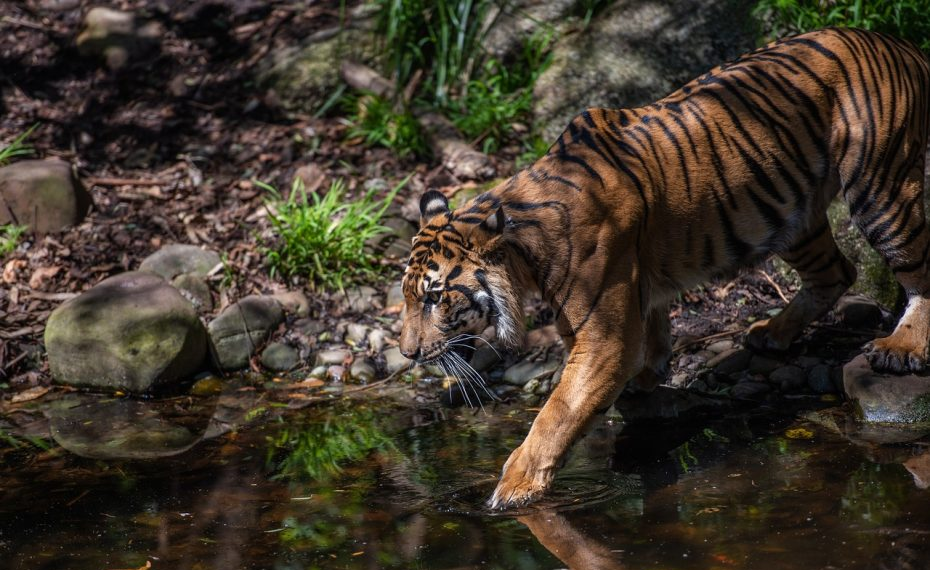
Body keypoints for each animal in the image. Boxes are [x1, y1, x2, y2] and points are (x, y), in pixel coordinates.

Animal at [399, 27, 930, 508]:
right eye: (407, 297)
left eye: (434, 297)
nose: (407, 354)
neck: (525, 252)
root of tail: (898, 42)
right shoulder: (632, 295)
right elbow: (650, 331)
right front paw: (647, 376)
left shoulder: (603, 335)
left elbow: (558, 412)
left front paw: (513, 489)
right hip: (791, 214)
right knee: (835, 272)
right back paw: (770, 334)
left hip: (879, 187)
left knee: (915, 268)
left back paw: (901, 347)